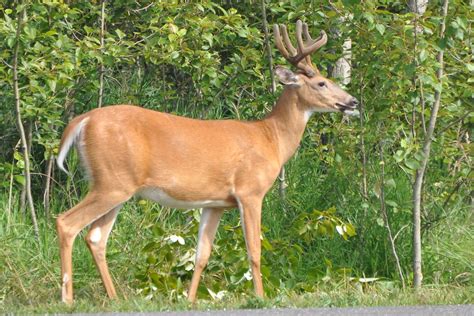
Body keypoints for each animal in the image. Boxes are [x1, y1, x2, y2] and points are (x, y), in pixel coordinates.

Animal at [55, 19, 358, 304]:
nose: (352, 101)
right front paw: (260, 297)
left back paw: (115, 298)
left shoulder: (215, 203)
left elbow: (201, 254)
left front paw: (189, 300)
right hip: (111, 182)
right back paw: (67, 298)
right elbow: (254, 250)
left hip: (116, 186)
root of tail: (82, 121)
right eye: (321, 83)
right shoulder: (250, 191)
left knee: (96, 237)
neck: (271, 139)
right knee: (67, 223)